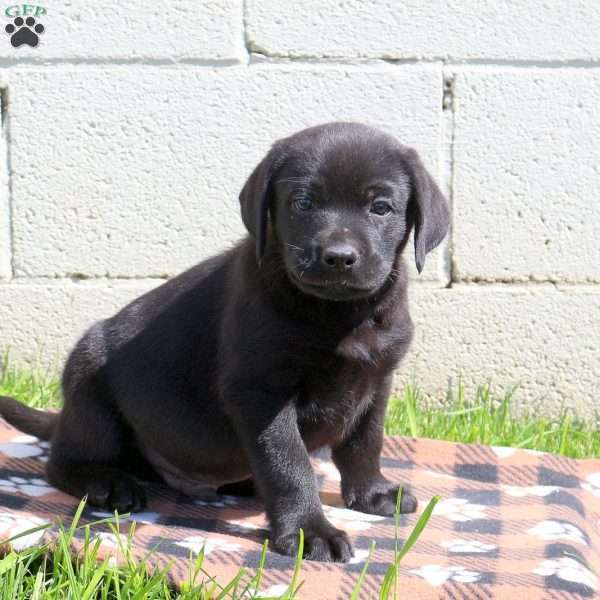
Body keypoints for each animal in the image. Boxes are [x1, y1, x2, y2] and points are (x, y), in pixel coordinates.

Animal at [0, 122, 448, 564]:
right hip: (91, 391)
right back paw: (107, 484)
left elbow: (364, 443)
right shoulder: (261, 393)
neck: (339, 314)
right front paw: (309, 530)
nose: (339, 256)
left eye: (381, 207)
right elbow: (289, 464)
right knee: (63, 460)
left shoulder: (376, 379)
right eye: (303, 203)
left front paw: (372, 493)